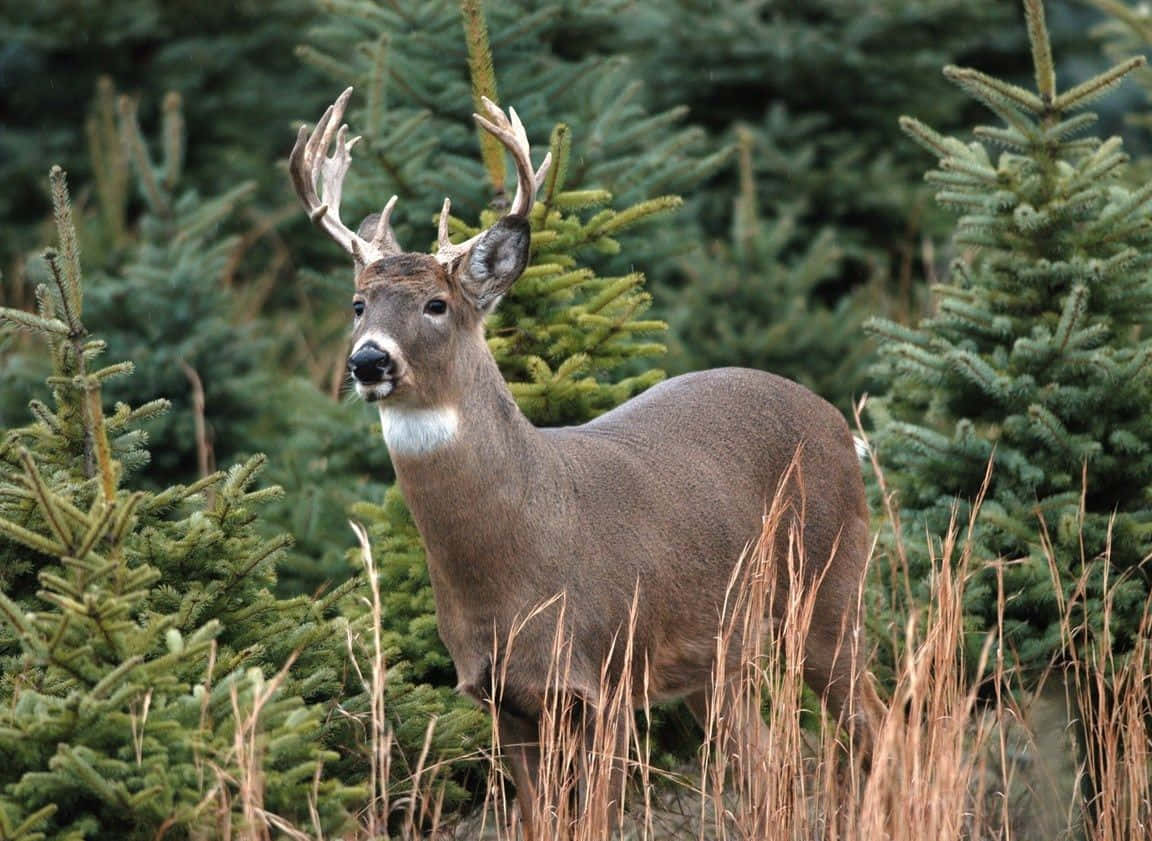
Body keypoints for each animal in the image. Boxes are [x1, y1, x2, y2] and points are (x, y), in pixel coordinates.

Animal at [290, 88, 885, 838]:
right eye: (358, 303)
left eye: (436, 303)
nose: (369, 361)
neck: (513, 563)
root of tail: (839, 424)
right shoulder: (500, 697)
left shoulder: (608, 674)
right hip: (719, 656)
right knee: (763, 759)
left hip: (832, 586)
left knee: (873, 719)